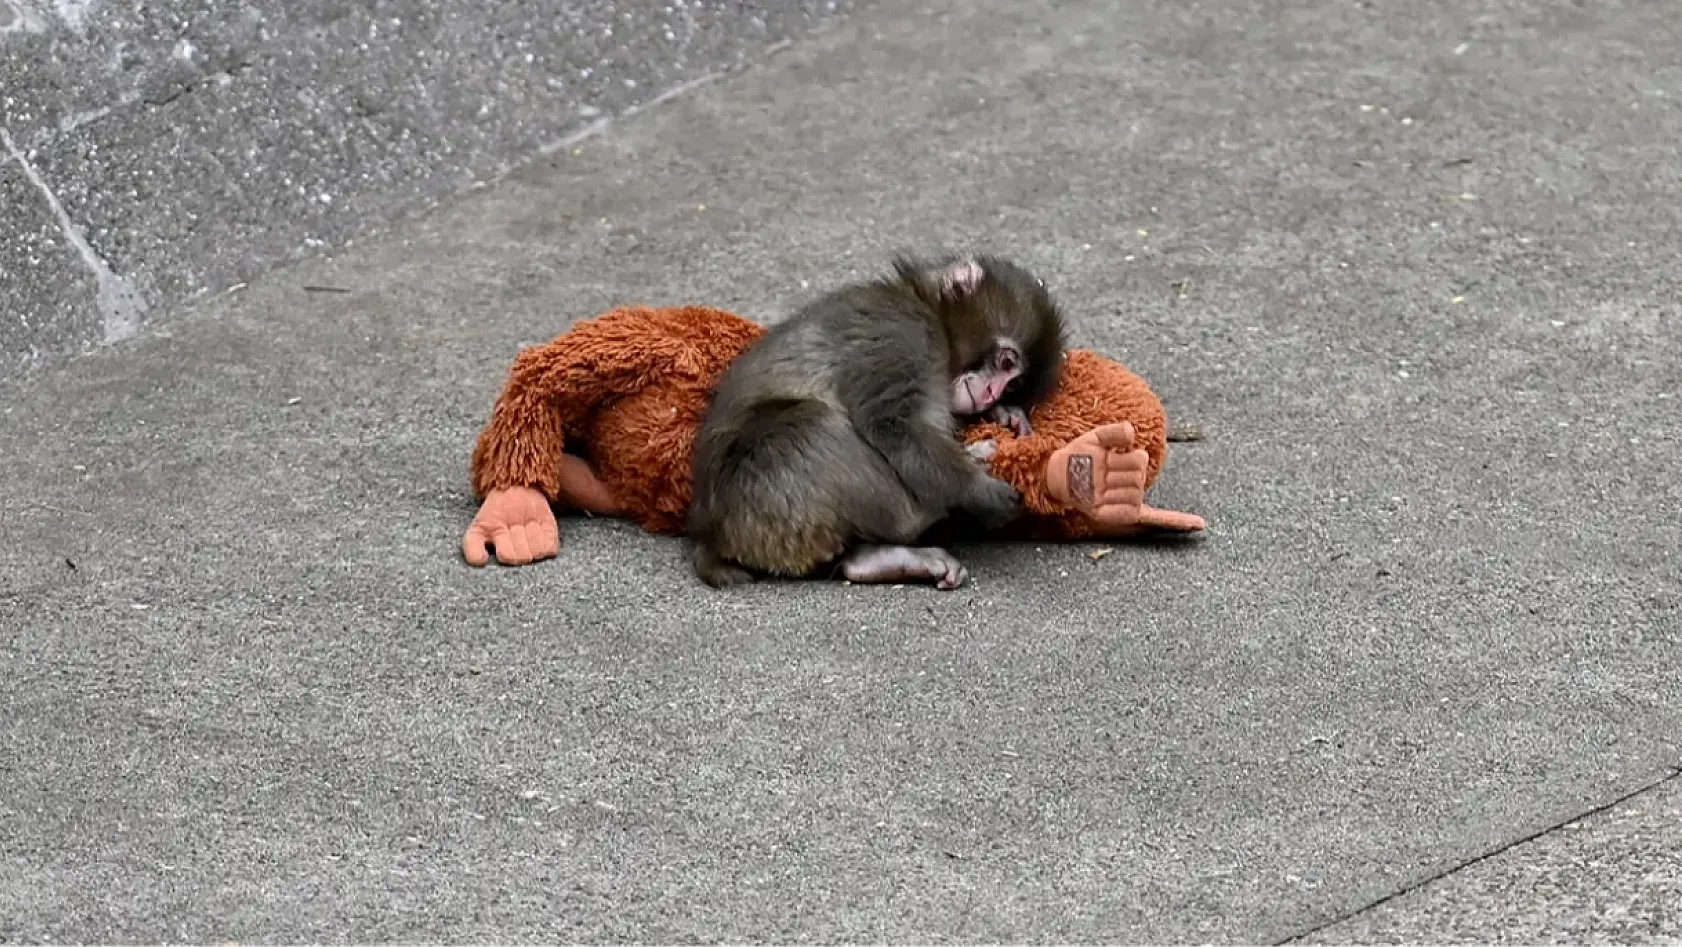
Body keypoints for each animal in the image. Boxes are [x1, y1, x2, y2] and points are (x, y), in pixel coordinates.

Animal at [686, 252, 1067, 591]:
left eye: (1012, 385)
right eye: (1006, 363)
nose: (991, 394)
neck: (929, 311)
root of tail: (711, 534)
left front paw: (1004, 415)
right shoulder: (904, 336)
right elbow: (892, 424)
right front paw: (978, 490)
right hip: (758, 495)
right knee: (813, 425)